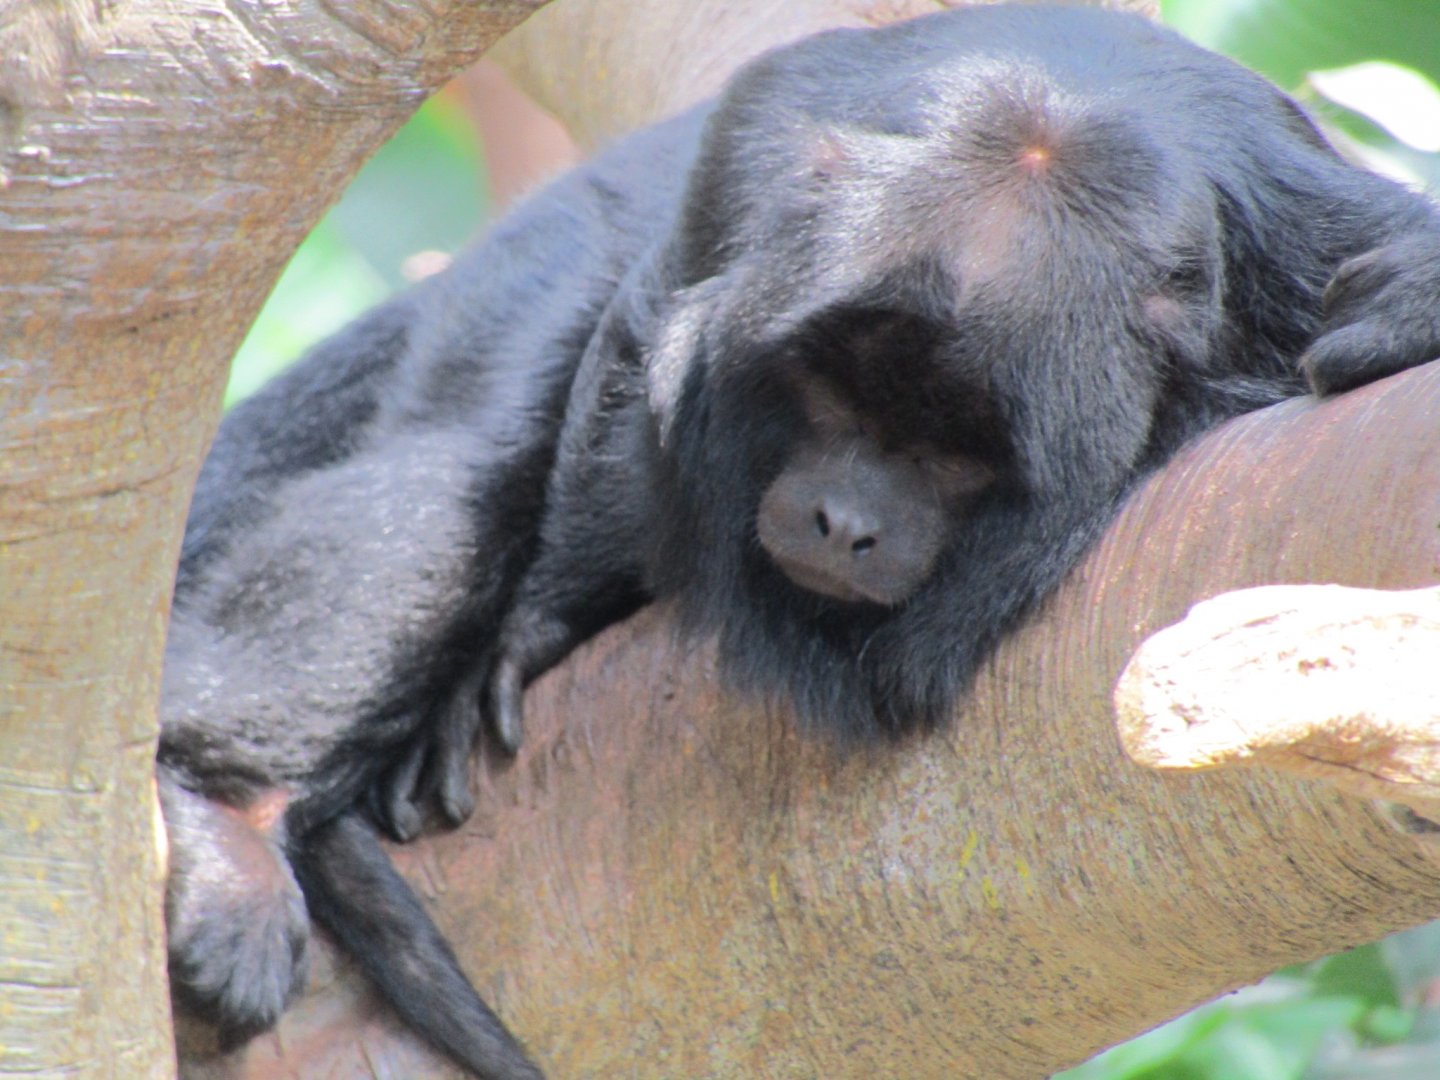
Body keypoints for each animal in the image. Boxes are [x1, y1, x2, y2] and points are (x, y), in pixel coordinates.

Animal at [159, 6, 1440, 1078]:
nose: (843, 520)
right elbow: (644, 330)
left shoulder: (1299, 223)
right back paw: (228, 811)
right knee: (443, 480)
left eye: (957, 449)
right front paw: (536, 628)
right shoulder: (744, 170)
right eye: (830, 389)